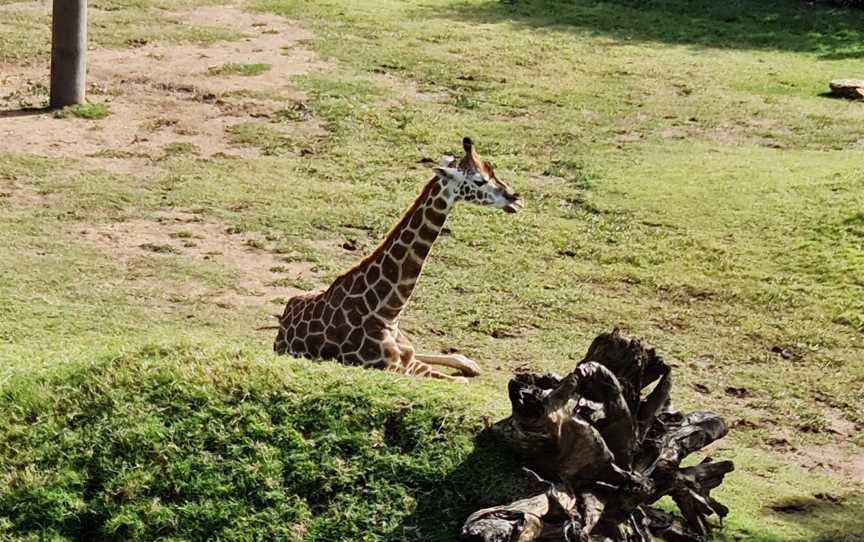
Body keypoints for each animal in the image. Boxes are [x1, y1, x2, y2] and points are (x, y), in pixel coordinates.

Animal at [274, 140, 524, 386]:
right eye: (479, 180)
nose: (516, 199)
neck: (387, 312)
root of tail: (281, 328)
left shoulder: (409, 361)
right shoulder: (393, 368)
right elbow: (460, 382)